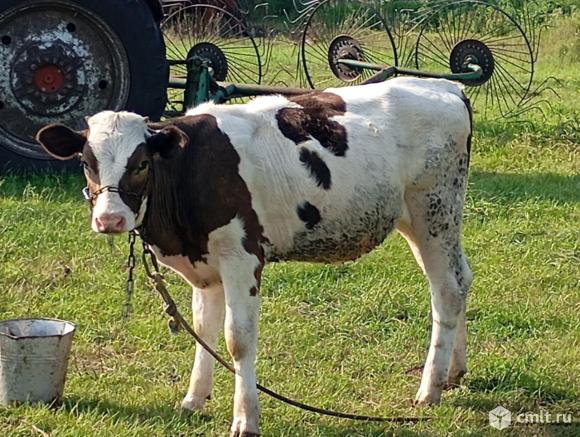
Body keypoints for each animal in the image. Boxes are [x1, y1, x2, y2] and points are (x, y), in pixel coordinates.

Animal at [37, 77, 473, 436]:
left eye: (142, 163)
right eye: (86, 163)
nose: (109, 219)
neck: (189, 171)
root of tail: (447, 86)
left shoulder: (242, 258)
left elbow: (237, 340)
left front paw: (246, 420)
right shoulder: (206, 267)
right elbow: (204, 329)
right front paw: (193, 399)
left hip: (433, 212)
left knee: (446, 291)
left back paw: (430, 388)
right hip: (425, 221)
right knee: (462, 279)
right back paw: (455, 372)